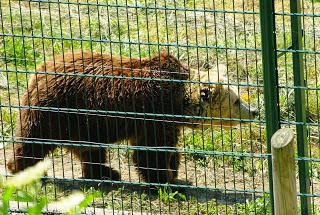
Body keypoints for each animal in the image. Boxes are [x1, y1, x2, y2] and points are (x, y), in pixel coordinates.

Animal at [6, 50, 258, 185]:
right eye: (237, 101)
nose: (254, 111)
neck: (180, 101)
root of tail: (38, 70)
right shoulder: (154, 112)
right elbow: (151, 151)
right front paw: (165, 178)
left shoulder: (162, 121)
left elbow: (166, 148)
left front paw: (174, 171)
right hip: (56, 109)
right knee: (34, 140)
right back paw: (22, 169)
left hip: (83, 122)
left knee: (90, 149)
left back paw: (106, 173)